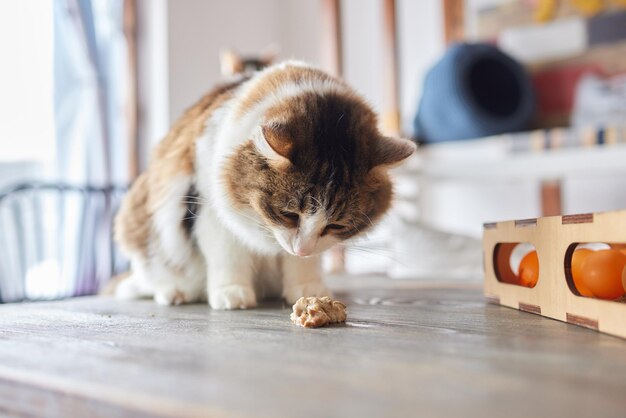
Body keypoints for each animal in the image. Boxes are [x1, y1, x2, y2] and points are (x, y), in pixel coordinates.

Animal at [113, 62, 414, 310]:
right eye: (288, 215)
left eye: (335, 226)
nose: (301, 249)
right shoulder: (210, 211)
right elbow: (228, 257)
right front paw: (231, 294)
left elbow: (303, 265)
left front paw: (306, 290)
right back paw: (175, 293)